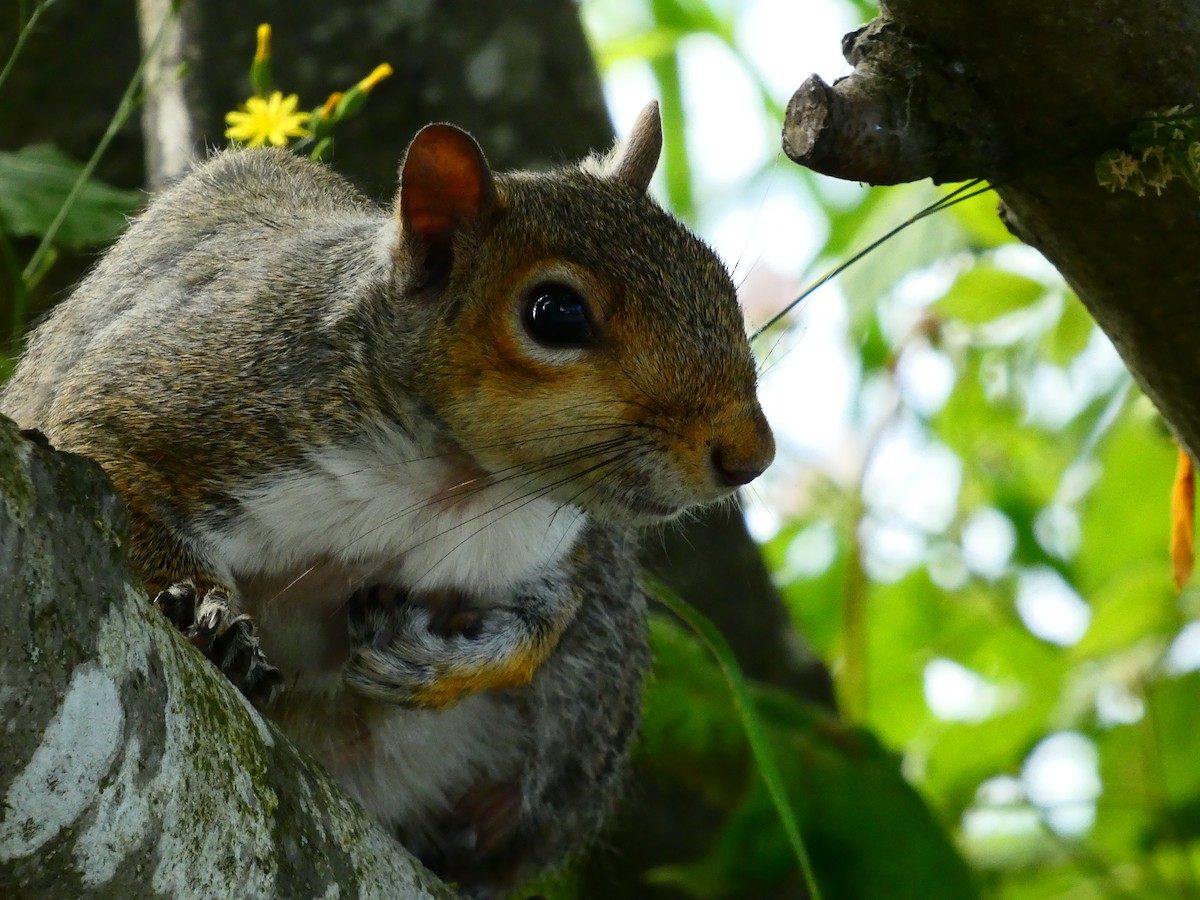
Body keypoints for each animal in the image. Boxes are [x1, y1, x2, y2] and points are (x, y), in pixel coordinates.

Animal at [1, 101, 774, 896]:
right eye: (555, 313)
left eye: (721, 284)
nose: (751, 456)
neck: (449, 484)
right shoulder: (184, 394)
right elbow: (105, 449)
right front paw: (203, 610)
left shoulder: (544, 547)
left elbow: (545, 621)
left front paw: (437, 667)